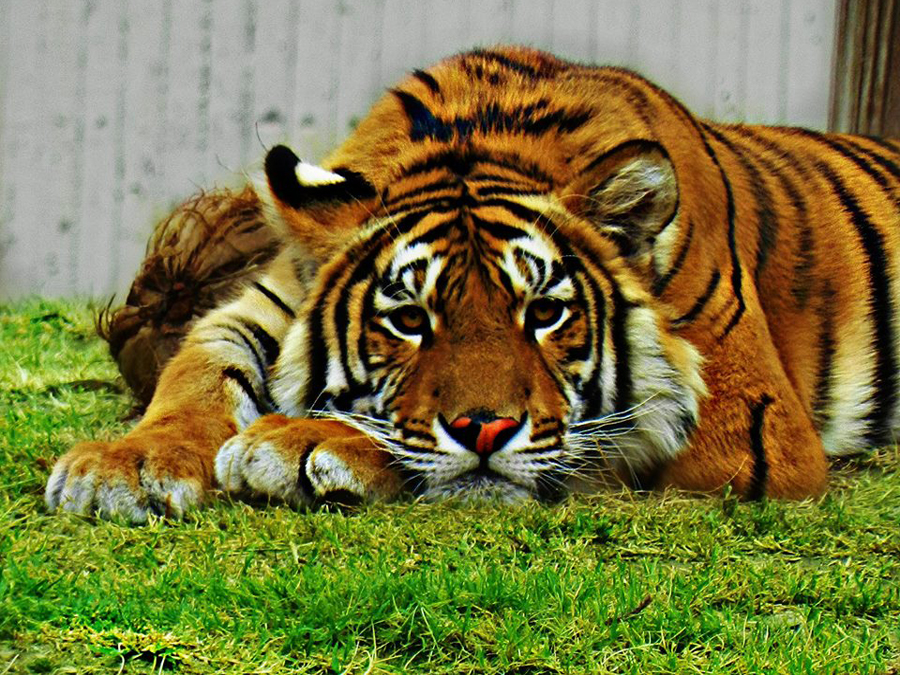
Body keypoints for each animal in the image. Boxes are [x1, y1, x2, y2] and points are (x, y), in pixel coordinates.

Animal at [44, 47, 900, 524]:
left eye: (546, 313)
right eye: (408, 318)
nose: (485, 428)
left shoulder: (750, 426)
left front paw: (303, 440)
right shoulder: (266, 301)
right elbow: (194, 376)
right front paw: (126, 465)